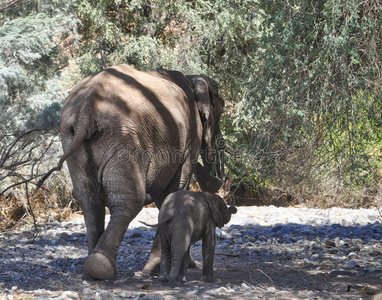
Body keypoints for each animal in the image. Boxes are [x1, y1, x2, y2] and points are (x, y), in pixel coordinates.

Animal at [53, 64, 224, 280]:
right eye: (222, 110)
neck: (192, 78)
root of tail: (87, 111)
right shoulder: (190, 138)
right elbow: (173, 190)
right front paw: (156, 270)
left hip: (71, 139)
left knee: (89, 202)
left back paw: (90, 273)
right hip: (126, 140)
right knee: (129, 200)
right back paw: (101, 267)